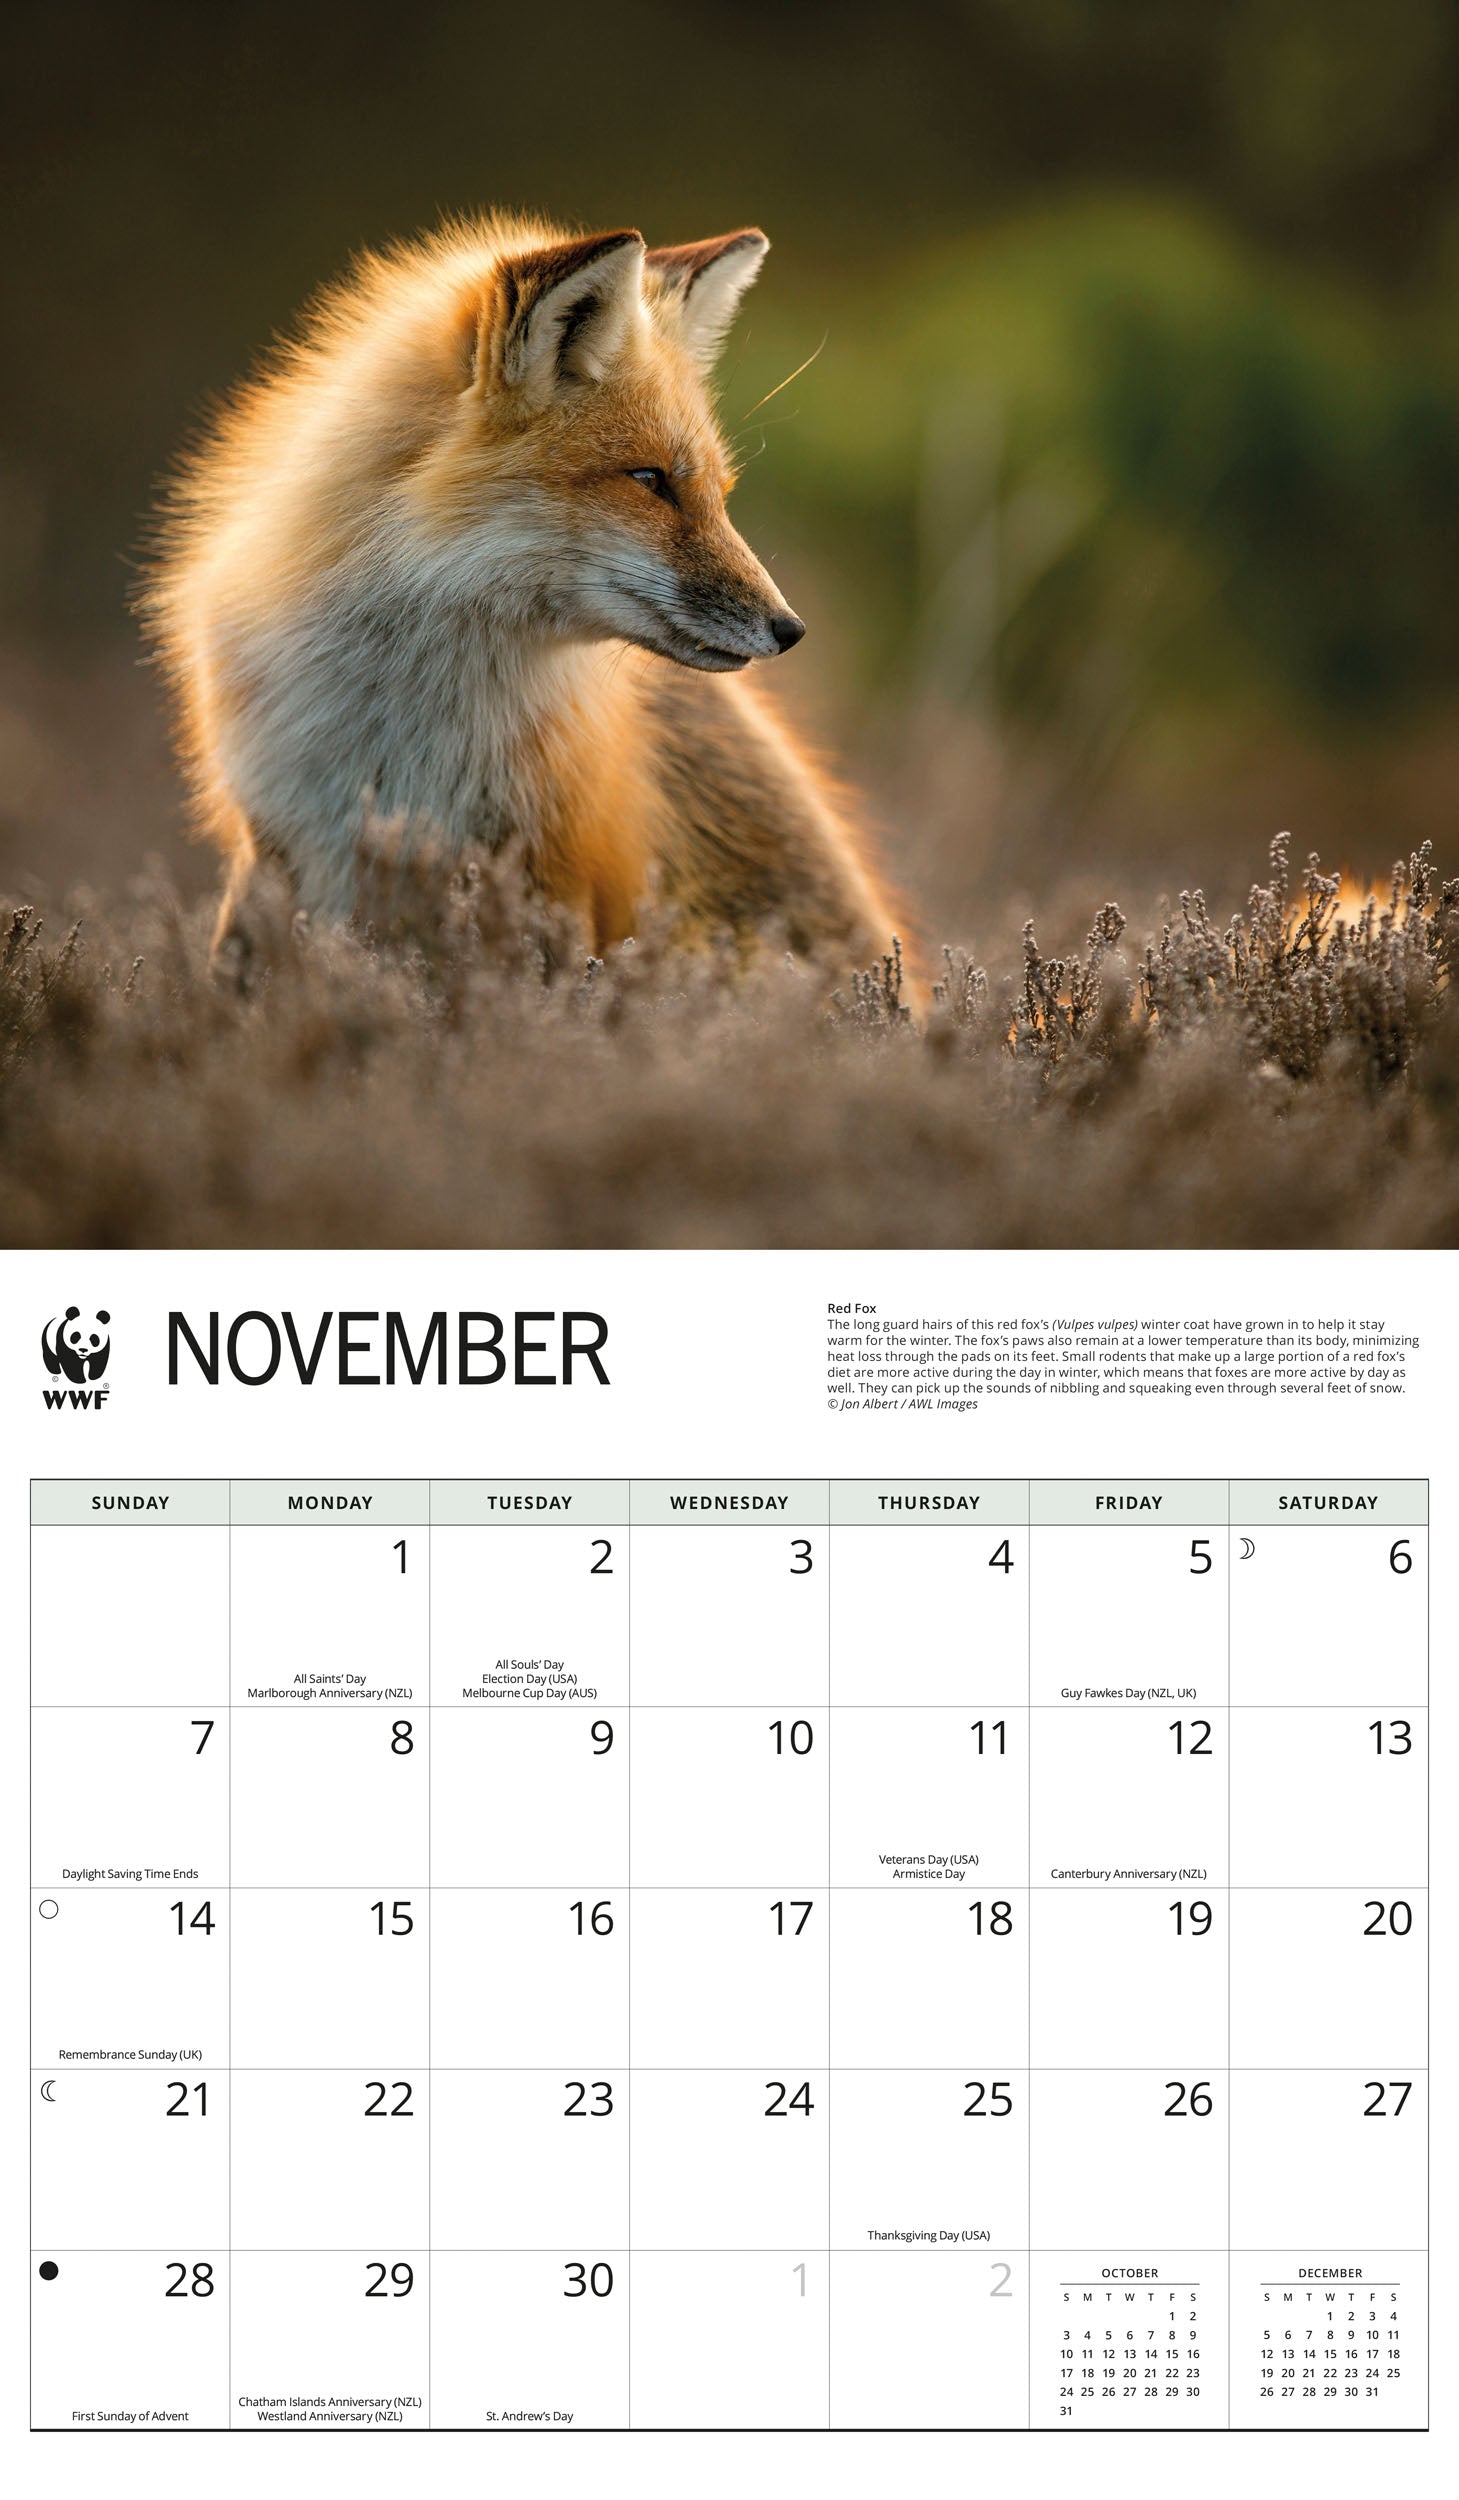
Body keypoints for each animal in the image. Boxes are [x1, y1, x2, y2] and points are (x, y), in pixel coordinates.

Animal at [141, 214, 899, 966]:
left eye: (720, 494)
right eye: (650, 479)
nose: (790, 629)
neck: (402, 733)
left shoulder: (550, 873)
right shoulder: (276, 837)